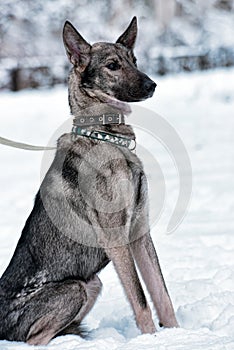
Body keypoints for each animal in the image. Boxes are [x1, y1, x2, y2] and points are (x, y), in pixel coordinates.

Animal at [0, 16, 177, 344]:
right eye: (112, 65)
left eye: (134, 61)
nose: (152, 85)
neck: (106, 136)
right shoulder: (116, 237)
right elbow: (141, 299)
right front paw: (151, 340)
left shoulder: (139, 230)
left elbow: (161, 294)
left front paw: (178, 335)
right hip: (75, 288)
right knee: (34, 340)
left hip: (92, 283)